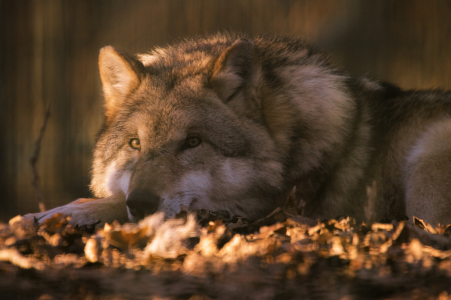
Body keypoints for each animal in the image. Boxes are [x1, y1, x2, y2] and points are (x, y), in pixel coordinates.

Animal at [24, 33, 451, 227]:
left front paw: (42, 217)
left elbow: (104, 204)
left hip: (428, 154)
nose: (141, 203)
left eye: (193, 142)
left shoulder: (256, 208)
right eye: (134, 144)